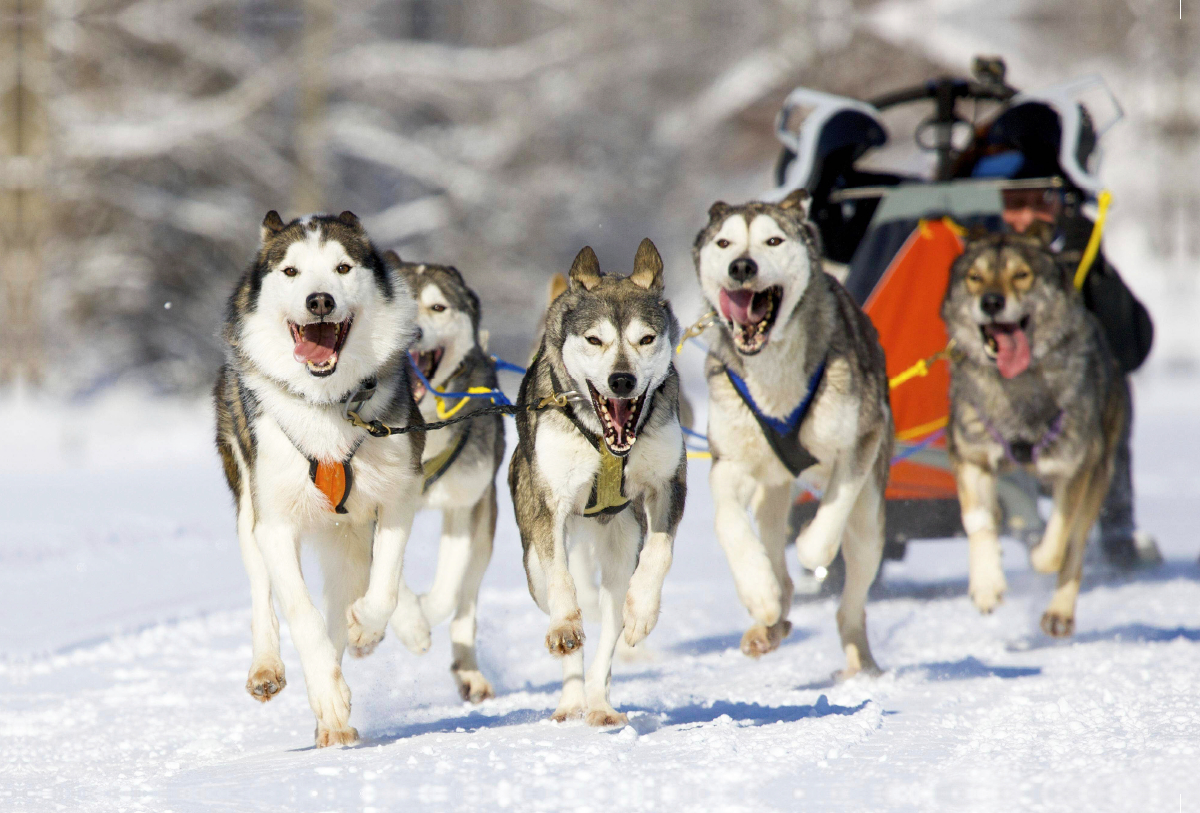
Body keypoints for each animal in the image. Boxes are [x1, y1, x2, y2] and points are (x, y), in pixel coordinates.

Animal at [218, 213, 429, 748]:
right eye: (291, 271)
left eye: (342, 267)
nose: (320, 301)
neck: (328, 404)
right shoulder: (275, 523)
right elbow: (301, 614)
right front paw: (328, 694)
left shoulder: (399, 495)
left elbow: (384, 586)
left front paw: (367, 628)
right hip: (248, 503)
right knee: (262, 591)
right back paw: (271, 670)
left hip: (347, 536)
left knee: (352, 591)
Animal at [506, 241, 686, 724]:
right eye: (594, 340)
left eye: (646, 338)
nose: (621, 380)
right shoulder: (550, 505)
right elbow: (562, 583)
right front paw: (566, 626)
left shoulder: (668, 485)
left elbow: (660, 553)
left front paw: (643, 610)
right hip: (533, 565)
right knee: (562, 598)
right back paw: (571, 699)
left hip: (621, 549)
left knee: (608, 630)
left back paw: (599, 703)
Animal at [696, 190, 892, 681]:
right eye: (724, 242)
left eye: (773, 240)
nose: (742, 266)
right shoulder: (730, 463)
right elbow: (728, 523)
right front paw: (758, 591)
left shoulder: (860, 440)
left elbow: (825, 528)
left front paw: (809, 547)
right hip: (771, 494)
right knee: (775, 560)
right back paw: (767, 625)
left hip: (870, 520)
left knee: (850, 604)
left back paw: (861, 664)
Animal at [940, 227, 1128, 637]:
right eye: (974, 277)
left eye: (1021, 275)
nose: (991, 301)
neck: (1017, 388)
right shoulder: (971, 455)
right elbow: (977, 520)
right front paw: (986, 583)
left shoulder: (1075, 467)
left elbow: (1057, 541)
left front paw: (1038, 555)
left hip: (1100, 472)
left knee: (1076, 543)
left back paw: (1059, 612)